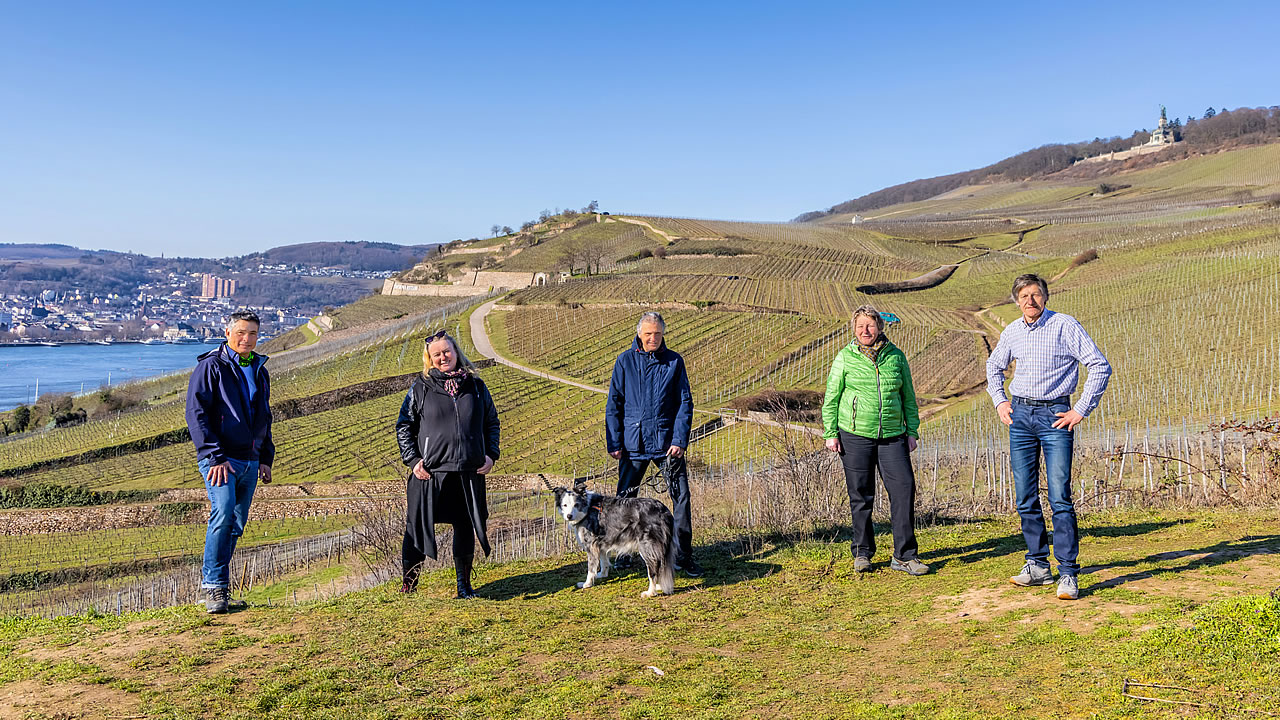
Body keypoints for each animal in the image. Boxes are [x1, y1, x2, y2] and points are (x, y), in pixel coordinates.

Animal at [542, 476, 680, 594]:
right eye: (564, 505)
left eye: (576, 505)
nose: (569, 516)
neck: (587, 509)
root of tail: (663, 509)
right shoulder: (600, 543)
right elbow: (604, 562)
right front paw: (602, 575)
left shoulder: (590, 544)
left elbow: (591, 568)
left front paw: (587, 584)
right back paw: (659, 586)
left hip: (647, 546)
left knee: (653, 568)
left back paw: (650, 592)